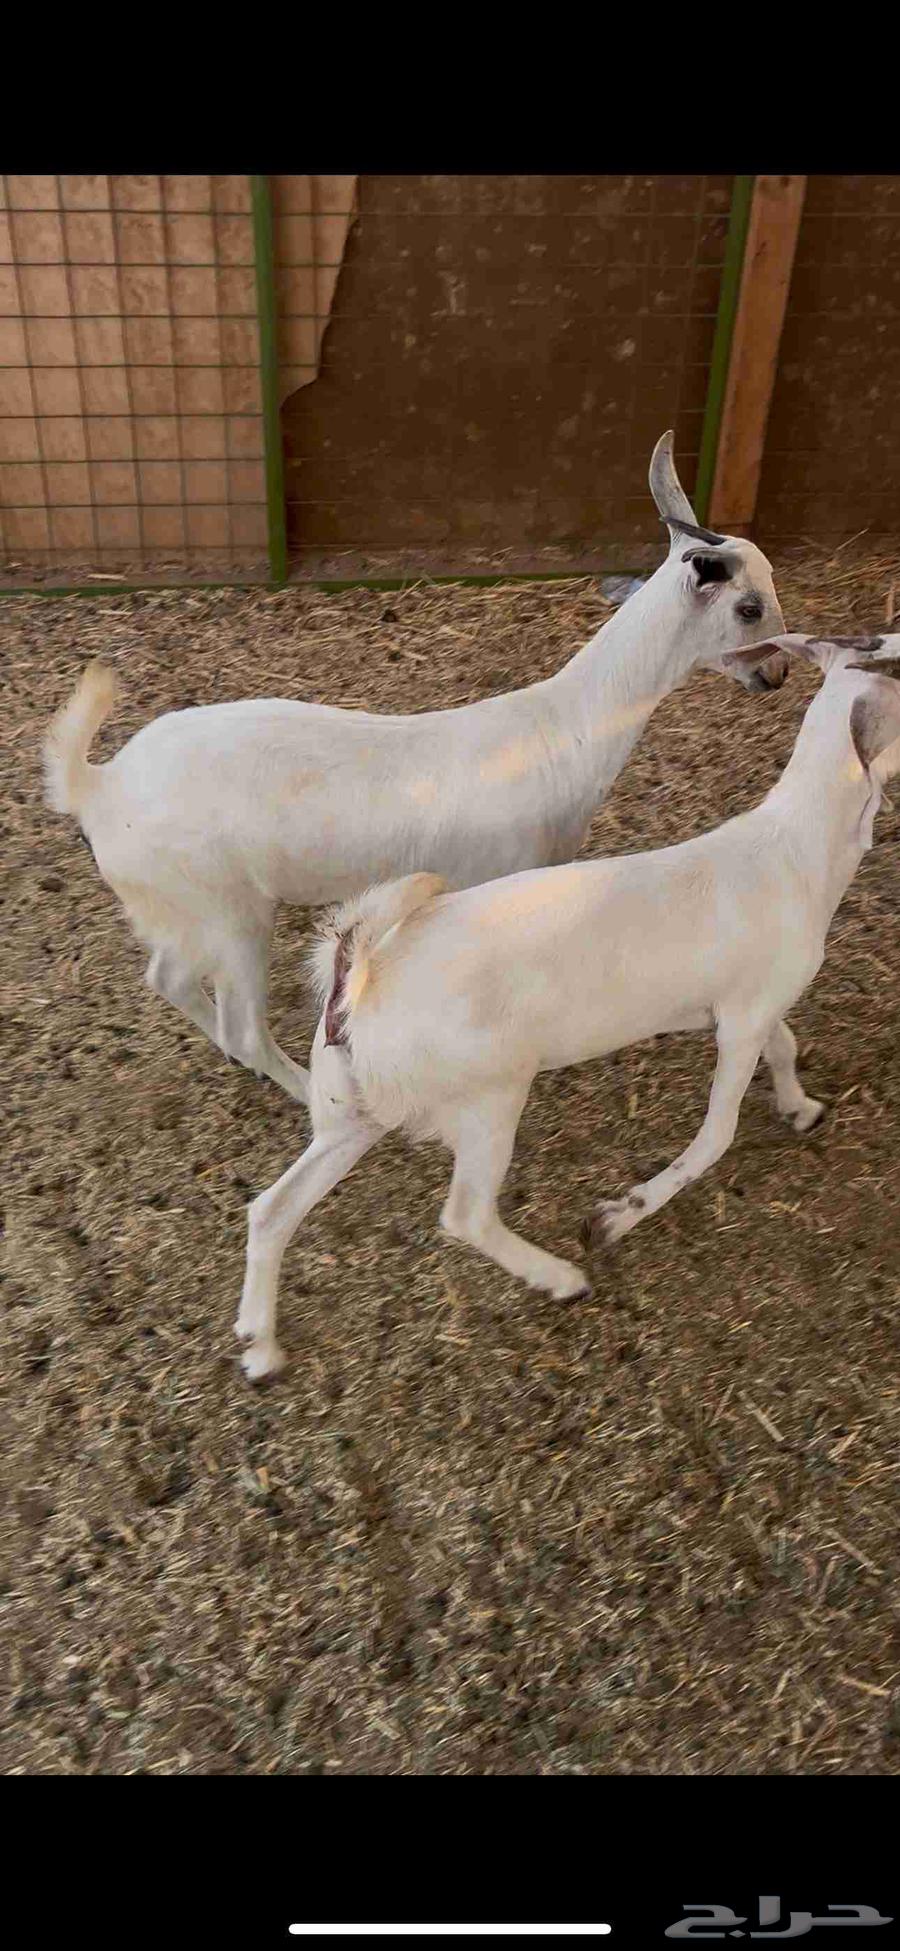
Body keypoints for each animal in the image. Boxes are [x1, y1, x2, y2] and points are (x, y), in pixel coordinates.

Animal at [43, 434, 788, 1106]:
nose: (777, 672)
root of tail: (97, 786)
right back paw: (306, 1090)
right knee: (240, 1025)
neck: (558, 731)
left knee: (168, 977)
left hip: (178, 907)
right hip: (230, 913)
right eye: (749, 607)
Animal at [233, 635, 900, 1380]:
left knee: (271, 1210)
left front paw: (802, 1109)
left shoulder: (744, 1005)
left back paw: (260, 1347)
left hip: (351, 1108)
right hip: (489, 1097)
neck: (794, 851)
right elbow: (716, 1134)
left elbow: (784, 1047)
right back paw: (559, 1277)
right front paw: (615, 1216)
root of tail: (361, 968)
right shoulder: (744, 1017)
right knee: (465, 1214)